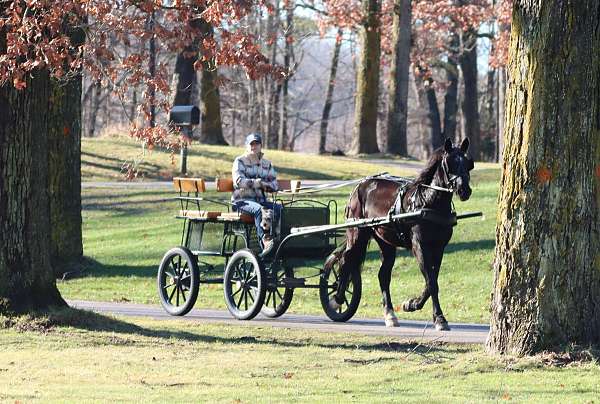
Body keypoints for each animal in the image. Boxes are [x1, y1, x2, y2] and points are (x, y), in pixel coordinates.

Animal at [328, 137, 474, 330]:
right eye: (449, 163)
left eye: (468, 163)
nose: (465, 190)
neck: (427, 201)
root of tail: (359, 186)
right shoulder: (419, 246)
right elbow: (431, 283)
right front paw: (439, 318)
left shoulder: (439, 248)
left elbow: (432, 281)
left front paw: (412, 304)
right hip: (357, 233)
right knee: (346, 261)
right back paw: (337, 299)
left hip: (386, 242)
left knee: (383, 275)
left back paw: (390, 314)